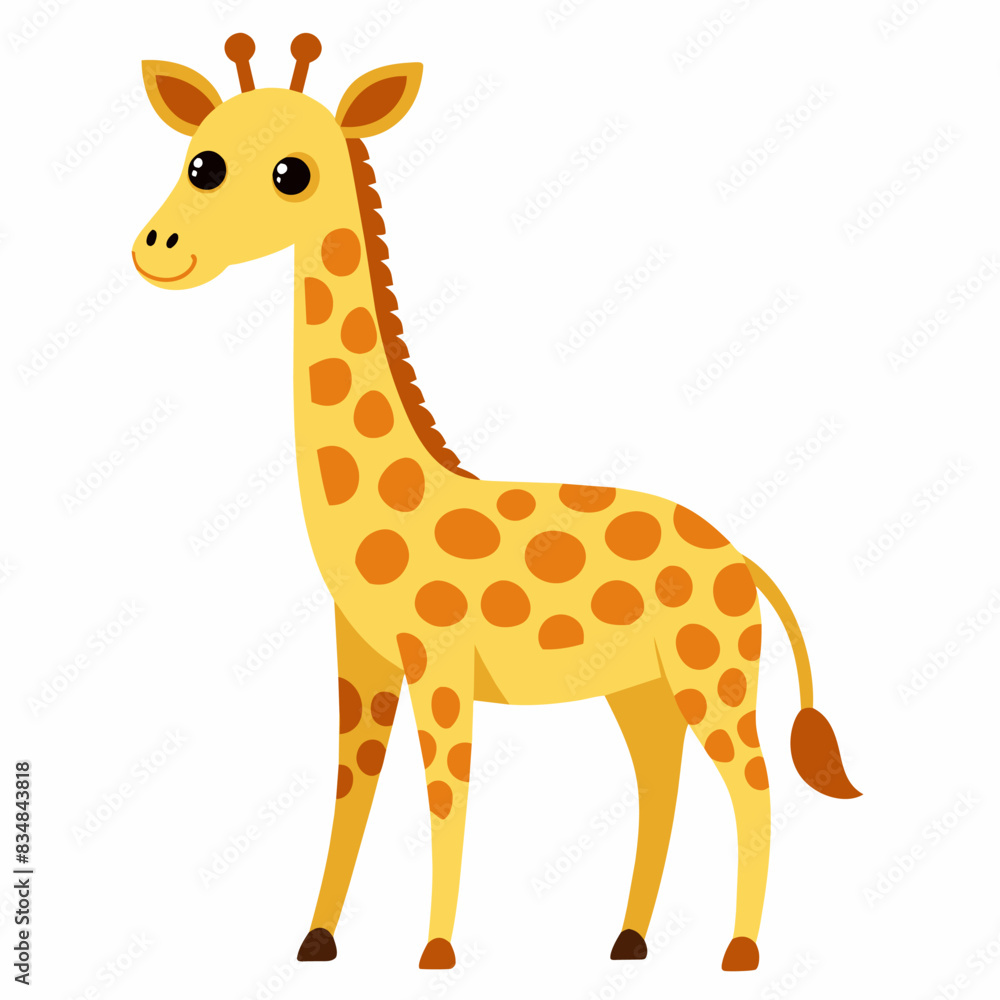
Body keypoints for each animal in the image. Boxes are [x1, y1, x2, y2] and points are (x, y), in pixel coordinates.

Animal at [132, 34, 861, 973]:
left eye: (290, 172)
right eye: (200, 157)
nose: (158, 248)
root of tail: (747, 563)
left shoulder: (441, 657)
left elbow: (447, 794)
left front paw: (435, 951)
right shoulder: (362, 654)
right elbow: (351, 787)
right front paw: (316, 939)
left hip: (716, 670)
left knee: (754, 782)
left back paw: (738, 951)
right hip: (642, 688)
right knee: (661, 779)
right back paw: (628, 940)